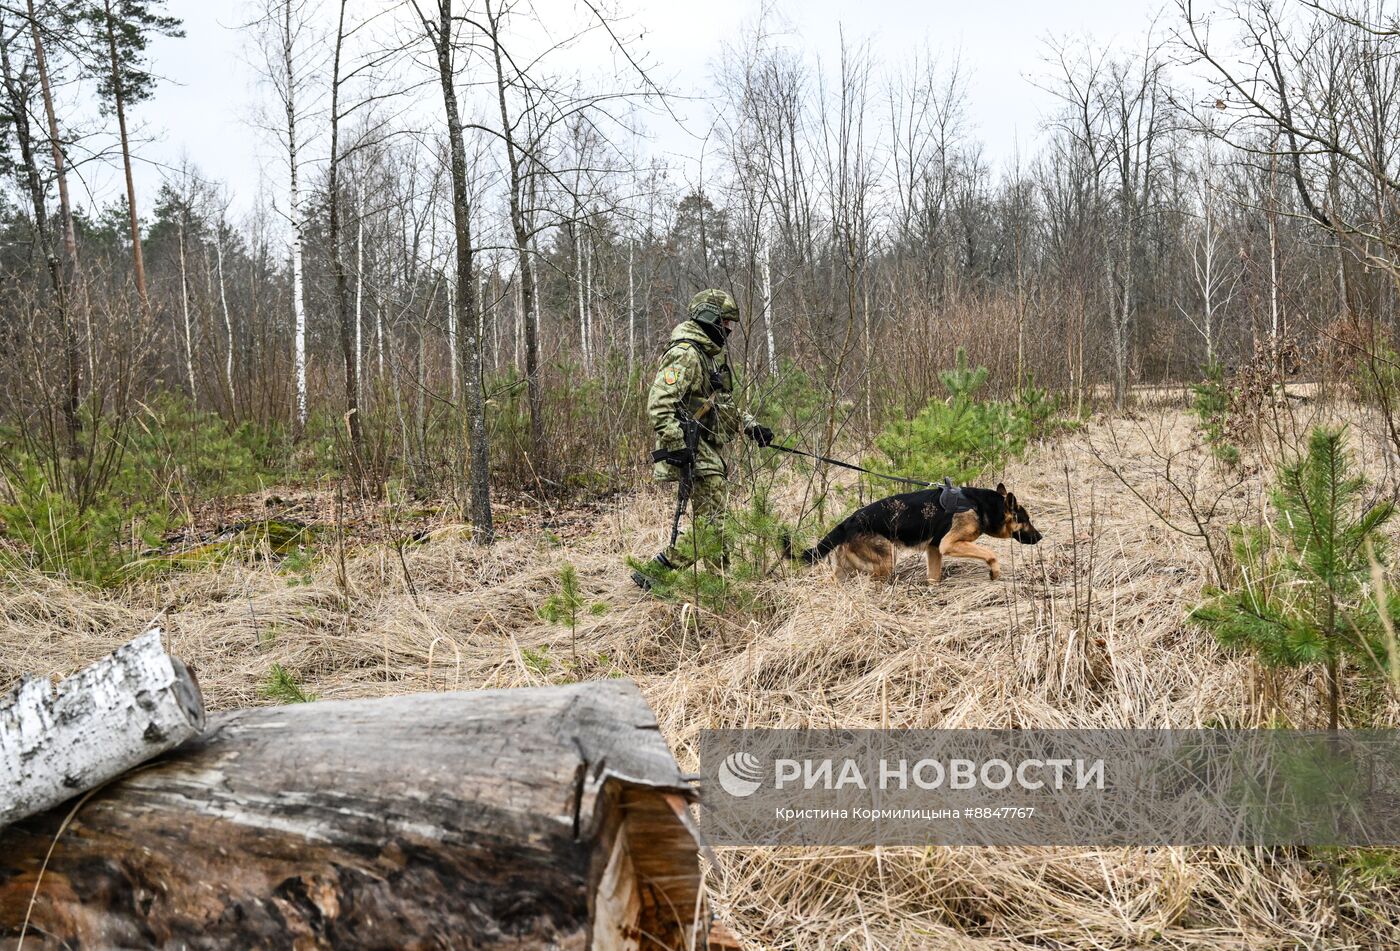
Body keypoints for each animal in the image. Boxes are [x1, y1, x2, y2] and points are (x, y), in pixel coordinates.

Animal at [789, 487, 1041, 585]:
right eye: (1026, 520)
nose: (1041, 537)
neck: (981, 506)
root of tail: (848, 521)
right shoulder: (949, 544)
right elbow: (990, 553)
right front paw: (994, 572)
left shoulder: (934, 549)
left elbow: (934, 577)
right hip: (886, 560)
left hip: (845, 569)